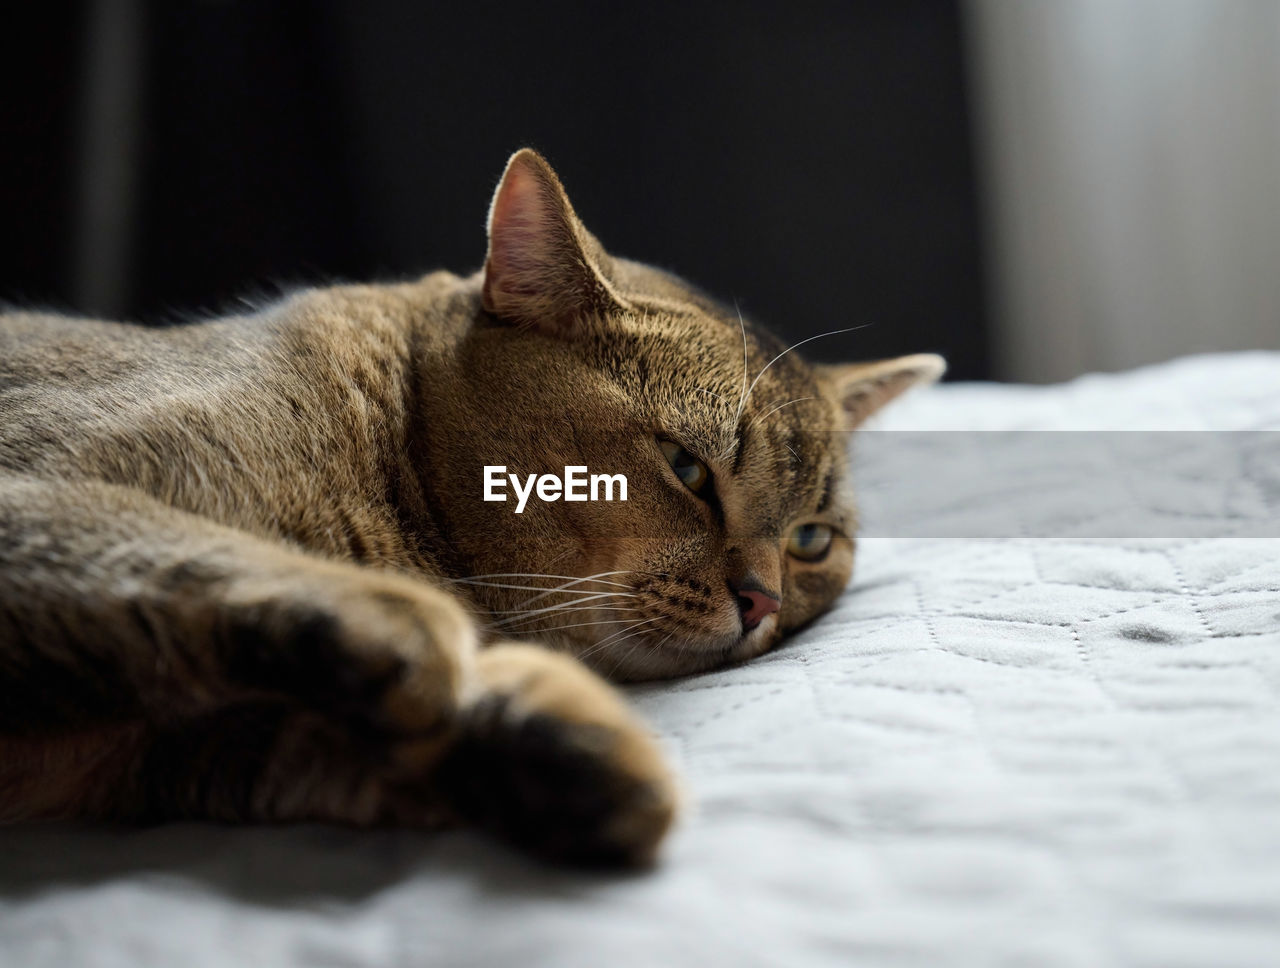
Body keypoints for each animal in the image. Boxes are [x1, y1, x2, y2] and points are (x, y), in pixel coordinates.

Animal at [0, 153, 942, 870]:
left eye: (811, 540)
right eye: (687, 469)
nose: (764, 602)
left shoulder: (170, 750)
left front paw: (569, 752)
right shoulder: (45, 494)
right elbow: (196, 557)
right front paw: (436, 645)